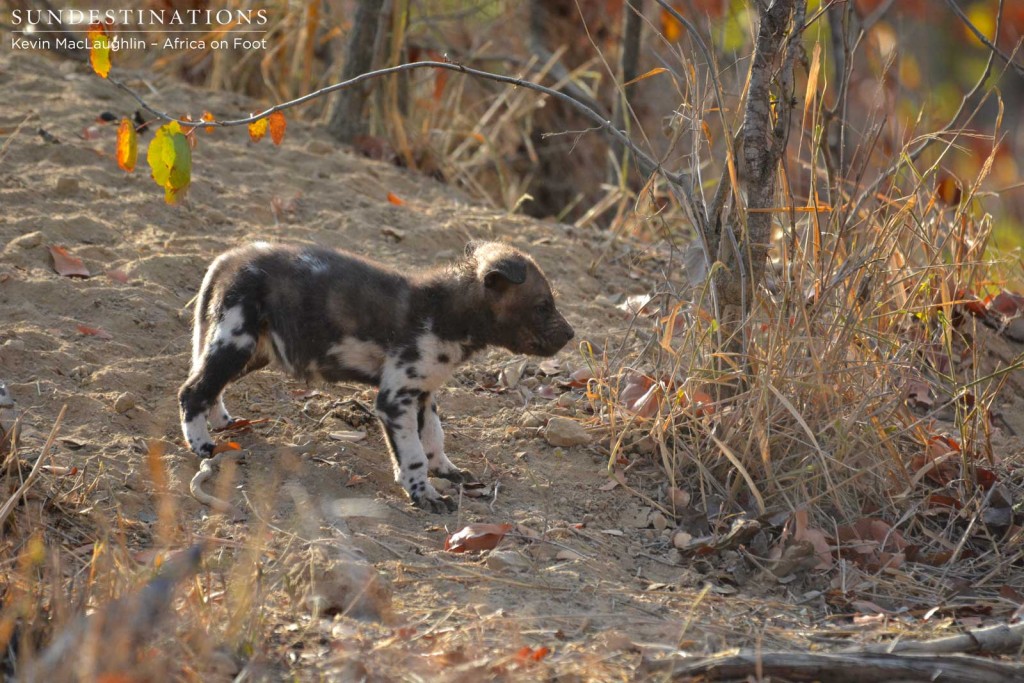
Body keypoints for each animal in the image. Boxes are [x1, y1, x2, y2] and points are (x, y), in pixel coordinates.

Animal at [179, 240, 573, 511]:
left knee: (211, 387)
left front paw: (446, 471)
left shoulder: (423, 394)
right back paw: (203, 445)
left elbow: (434, 439)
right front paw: (423, 494)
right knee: (192, 391)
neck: (447, 313)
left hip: (252, 352)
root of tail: (233, 256)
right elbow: (413, 455)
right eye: (543, 307)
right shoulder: (395, 399)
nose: (570, 335)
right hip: (237, 342)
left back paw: (224, 423)